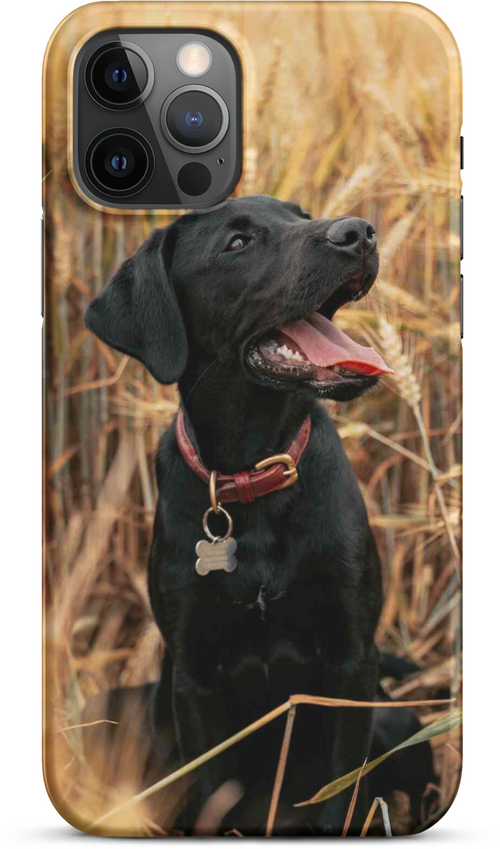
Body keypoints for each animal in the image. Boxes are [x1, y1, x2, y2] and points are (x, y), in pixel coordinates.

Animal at [87, 194, 394, 836]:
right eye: (237, 243)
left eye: (300, 215)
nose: (359, 233)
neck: (255, 475)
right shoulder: (193, 677)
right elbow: (212, 791)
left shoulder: (354, 659)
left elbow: (339, 791)